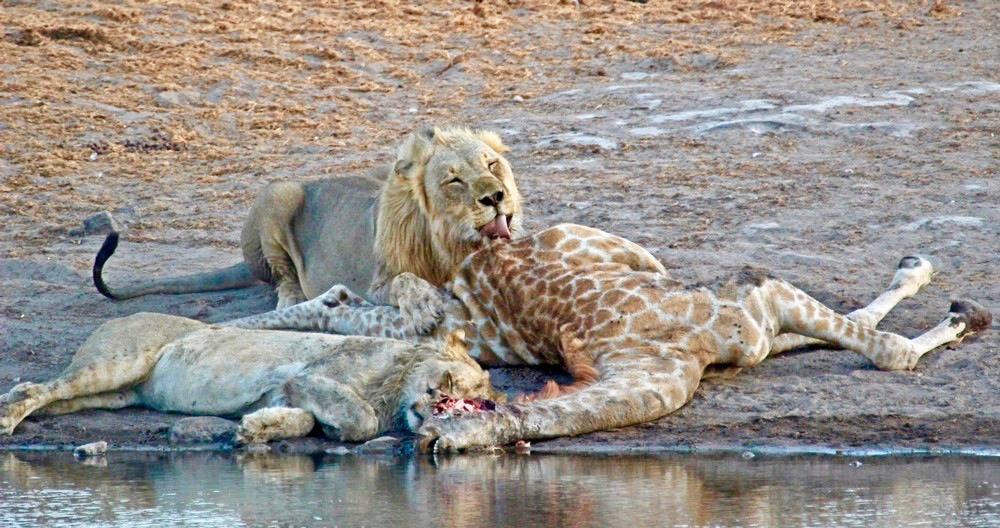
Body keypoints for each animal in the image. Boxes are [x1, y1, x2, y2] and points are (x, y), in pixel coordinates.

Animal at [0, 313, 503, 444]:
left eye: (475, 402)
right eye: (451, 381)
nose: (434, 398)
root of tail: (119, 316)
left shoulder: (289, 391)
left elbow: (302, 420)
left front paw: (254, 430)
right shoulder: (309, 375)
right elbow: (359, 418)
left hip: (115, 395)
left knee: (53, 397)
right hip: (117, 363)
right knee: (37, 388)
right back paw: (7, 419)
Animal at [93, 126, 523, 321]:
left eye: (491, 165)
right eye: (454, 181)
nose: (495, 197)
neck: (450, 243)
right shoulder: (375, 284)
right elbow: (407, 280)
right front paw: (424, 304)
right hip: (277, 193)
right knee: (281, 275)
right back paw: (292, 297)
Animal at [225, 224, 992, 450]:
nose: (422, 426)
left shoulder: (752, 308)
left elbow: (876, 341)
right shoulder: (748, 310)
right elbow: (885, 347)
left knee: (344, 301)